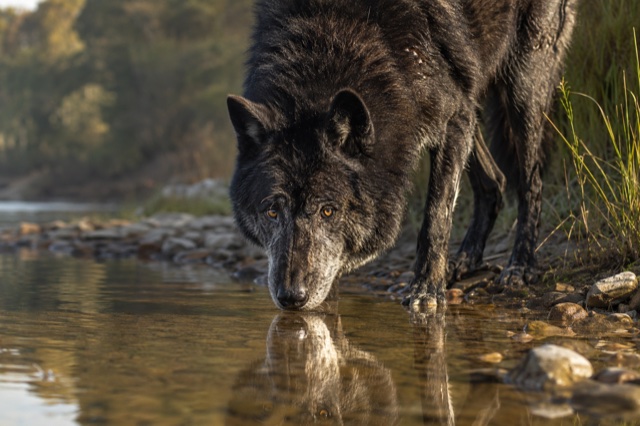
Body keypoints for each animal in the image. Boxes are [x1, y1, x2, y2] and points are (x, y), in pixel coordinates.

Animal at [227, 0, 577, 310]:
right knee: (495, 182)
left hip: (523, 88)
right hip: (471, 103)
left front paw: (426, 290)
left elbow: (436, 218)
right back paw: (464, 260)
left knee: (530, 181)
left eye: (328, 211)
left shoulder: (452, 120)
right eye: (272, 211)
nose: (291, 297)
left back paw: (521, 265)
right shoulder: (457, 115)